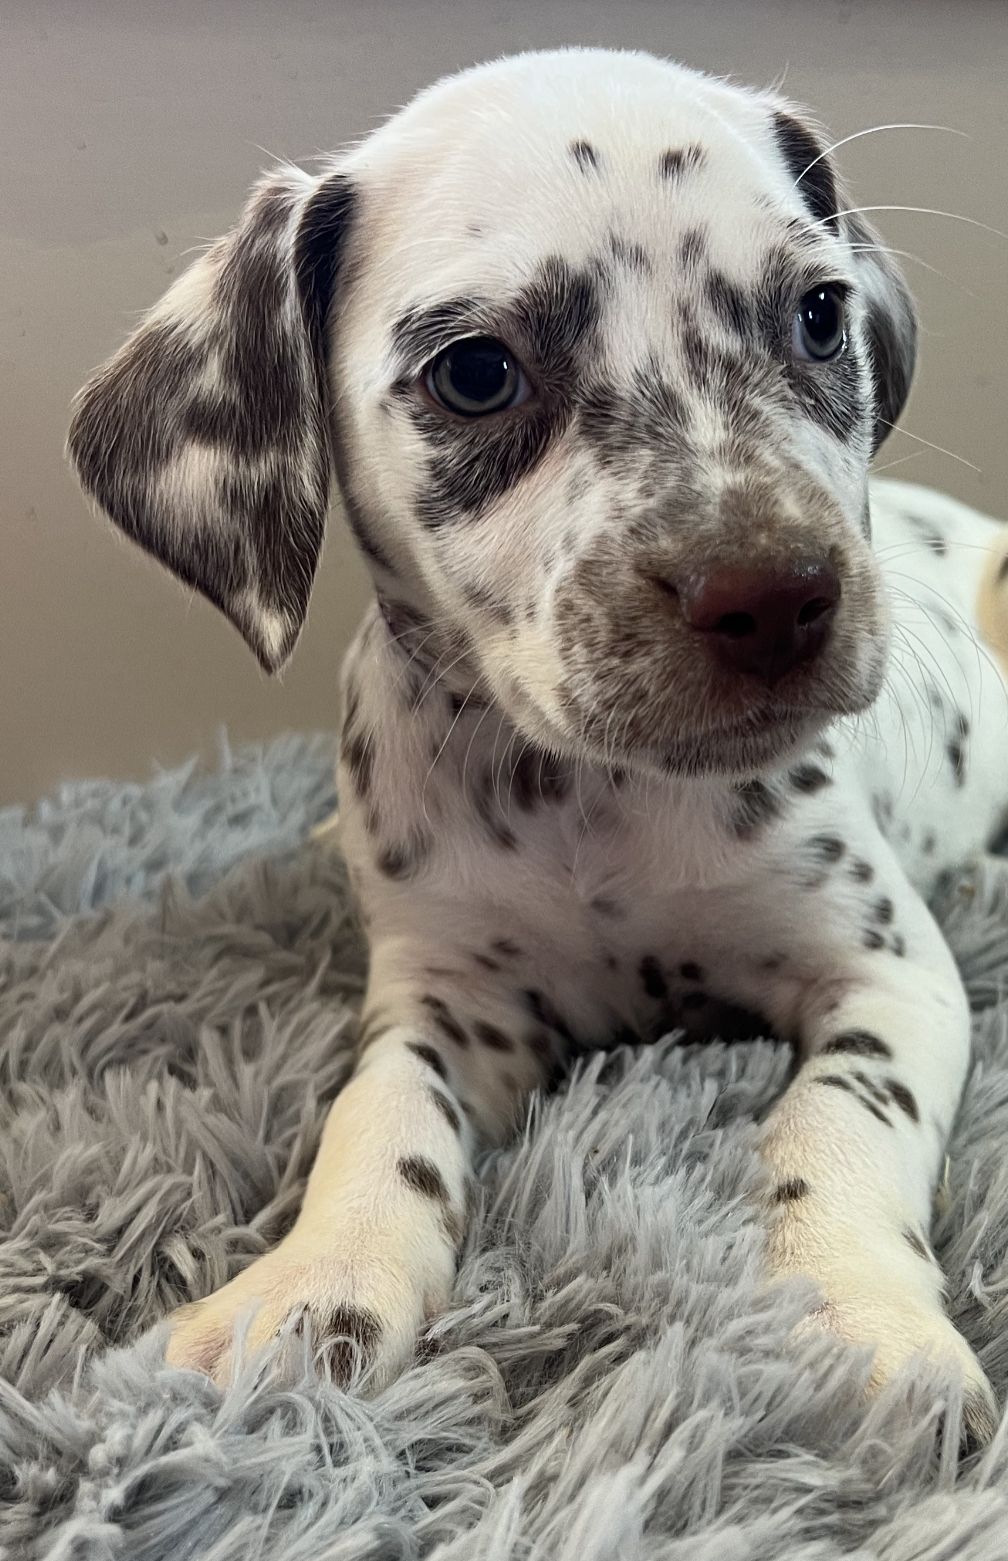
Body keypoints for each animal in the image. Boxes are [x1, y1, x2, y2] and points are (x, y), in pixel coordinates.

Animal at [68, 48, 1008, 1440]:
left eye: (819, 316)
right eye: (476, 372)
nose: (776, 595)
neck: (589, 798)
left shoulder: (892, 977)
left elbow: (841, 1120)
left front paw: (856, 1311)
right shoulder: (443, 1000)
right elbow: (374, 1116)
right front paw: (310, 1283)